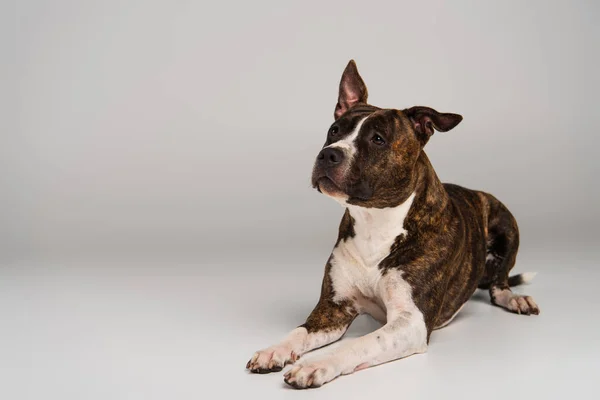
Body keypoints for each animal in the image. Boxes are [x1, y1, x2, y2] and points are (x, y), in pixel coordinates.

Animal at [244, 61, 540, 390]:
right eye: (334, 131)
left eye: (377, 139)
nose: (328, 153)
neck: (375, 223)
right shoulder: (333, 308)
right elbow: (300, 330)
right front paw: (274, 350)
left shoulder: (410, 322)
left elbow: (358, 344)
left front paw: (316, 364)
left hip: (506, 222)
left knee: (500, 283)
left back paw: (516, 298)